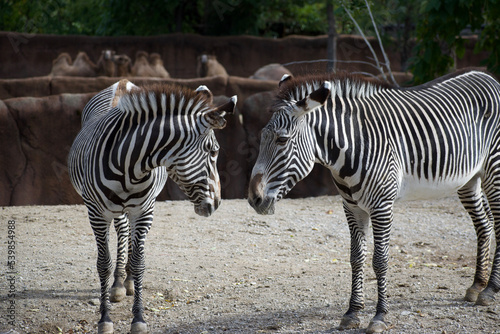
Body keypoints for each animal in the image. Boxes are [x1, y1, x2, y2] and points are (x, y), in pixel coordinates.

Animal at [68, 79, 236, 334]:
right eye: (214, 151)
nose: (216, 203)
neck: (129, 166)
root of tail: (123, 83)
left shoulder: (145, 211)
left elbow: (139, 263)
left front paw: (138, 318)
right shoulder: (96, 214)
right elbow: (103, 264)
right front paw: (105, 319)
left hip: (133, 209)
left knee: (127, 233)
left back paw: (126, 282)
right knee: (122, 230)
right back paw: (117, 284)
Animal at [248, 69, 500, 332]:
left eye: (282, 140)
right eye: (262, 137)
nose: (254, 198)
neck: (351, 147)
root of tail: (487, 77)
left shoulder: (382, 206)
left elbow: (380, 260)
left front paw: (379, 316)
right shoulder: (351, 207)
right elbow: (356, 258)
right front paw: (352, 312)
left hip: (493, 168)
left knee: (498, 224)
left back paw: (490, 290)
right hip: (469, 179)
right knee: (484, 224)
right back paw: (477, 285)